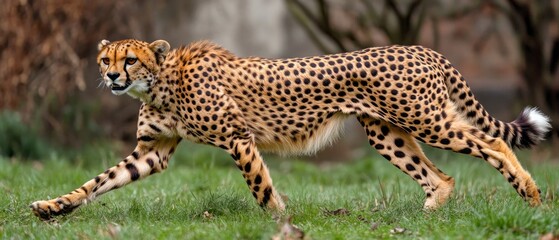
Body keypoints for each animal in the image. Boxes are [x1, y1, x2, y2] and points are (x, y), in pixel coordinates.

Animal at [30, 38, 552, 220]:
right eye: (106, 59)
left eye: (130, 60)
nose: (112, 78)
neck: (161, 82)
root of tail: (422, 47)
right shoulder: (151, 152)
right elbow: (96, 183)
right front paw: (52, 207)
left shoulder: (237, 138)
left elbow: (261, 188)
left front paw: (278, 220)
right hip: (386, 132)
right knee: (440, 176)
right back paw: (426, 217)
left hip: (426, 120)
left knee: (492, 143)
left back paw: (531, 195)